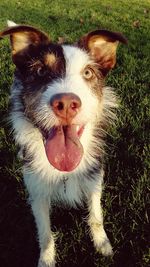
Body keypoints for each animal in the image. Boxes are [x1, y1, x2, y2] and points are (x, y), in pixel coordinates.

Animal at [0, 21, 126, 267]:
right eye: (40, 71)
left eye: (87, 72)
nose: (66, 104)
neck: (64, 171)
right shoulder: (37, 191)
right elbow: (45, 233)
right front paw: (46, 260)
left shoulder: (95, 177)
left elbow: (96, 215)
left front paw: (103, 245)